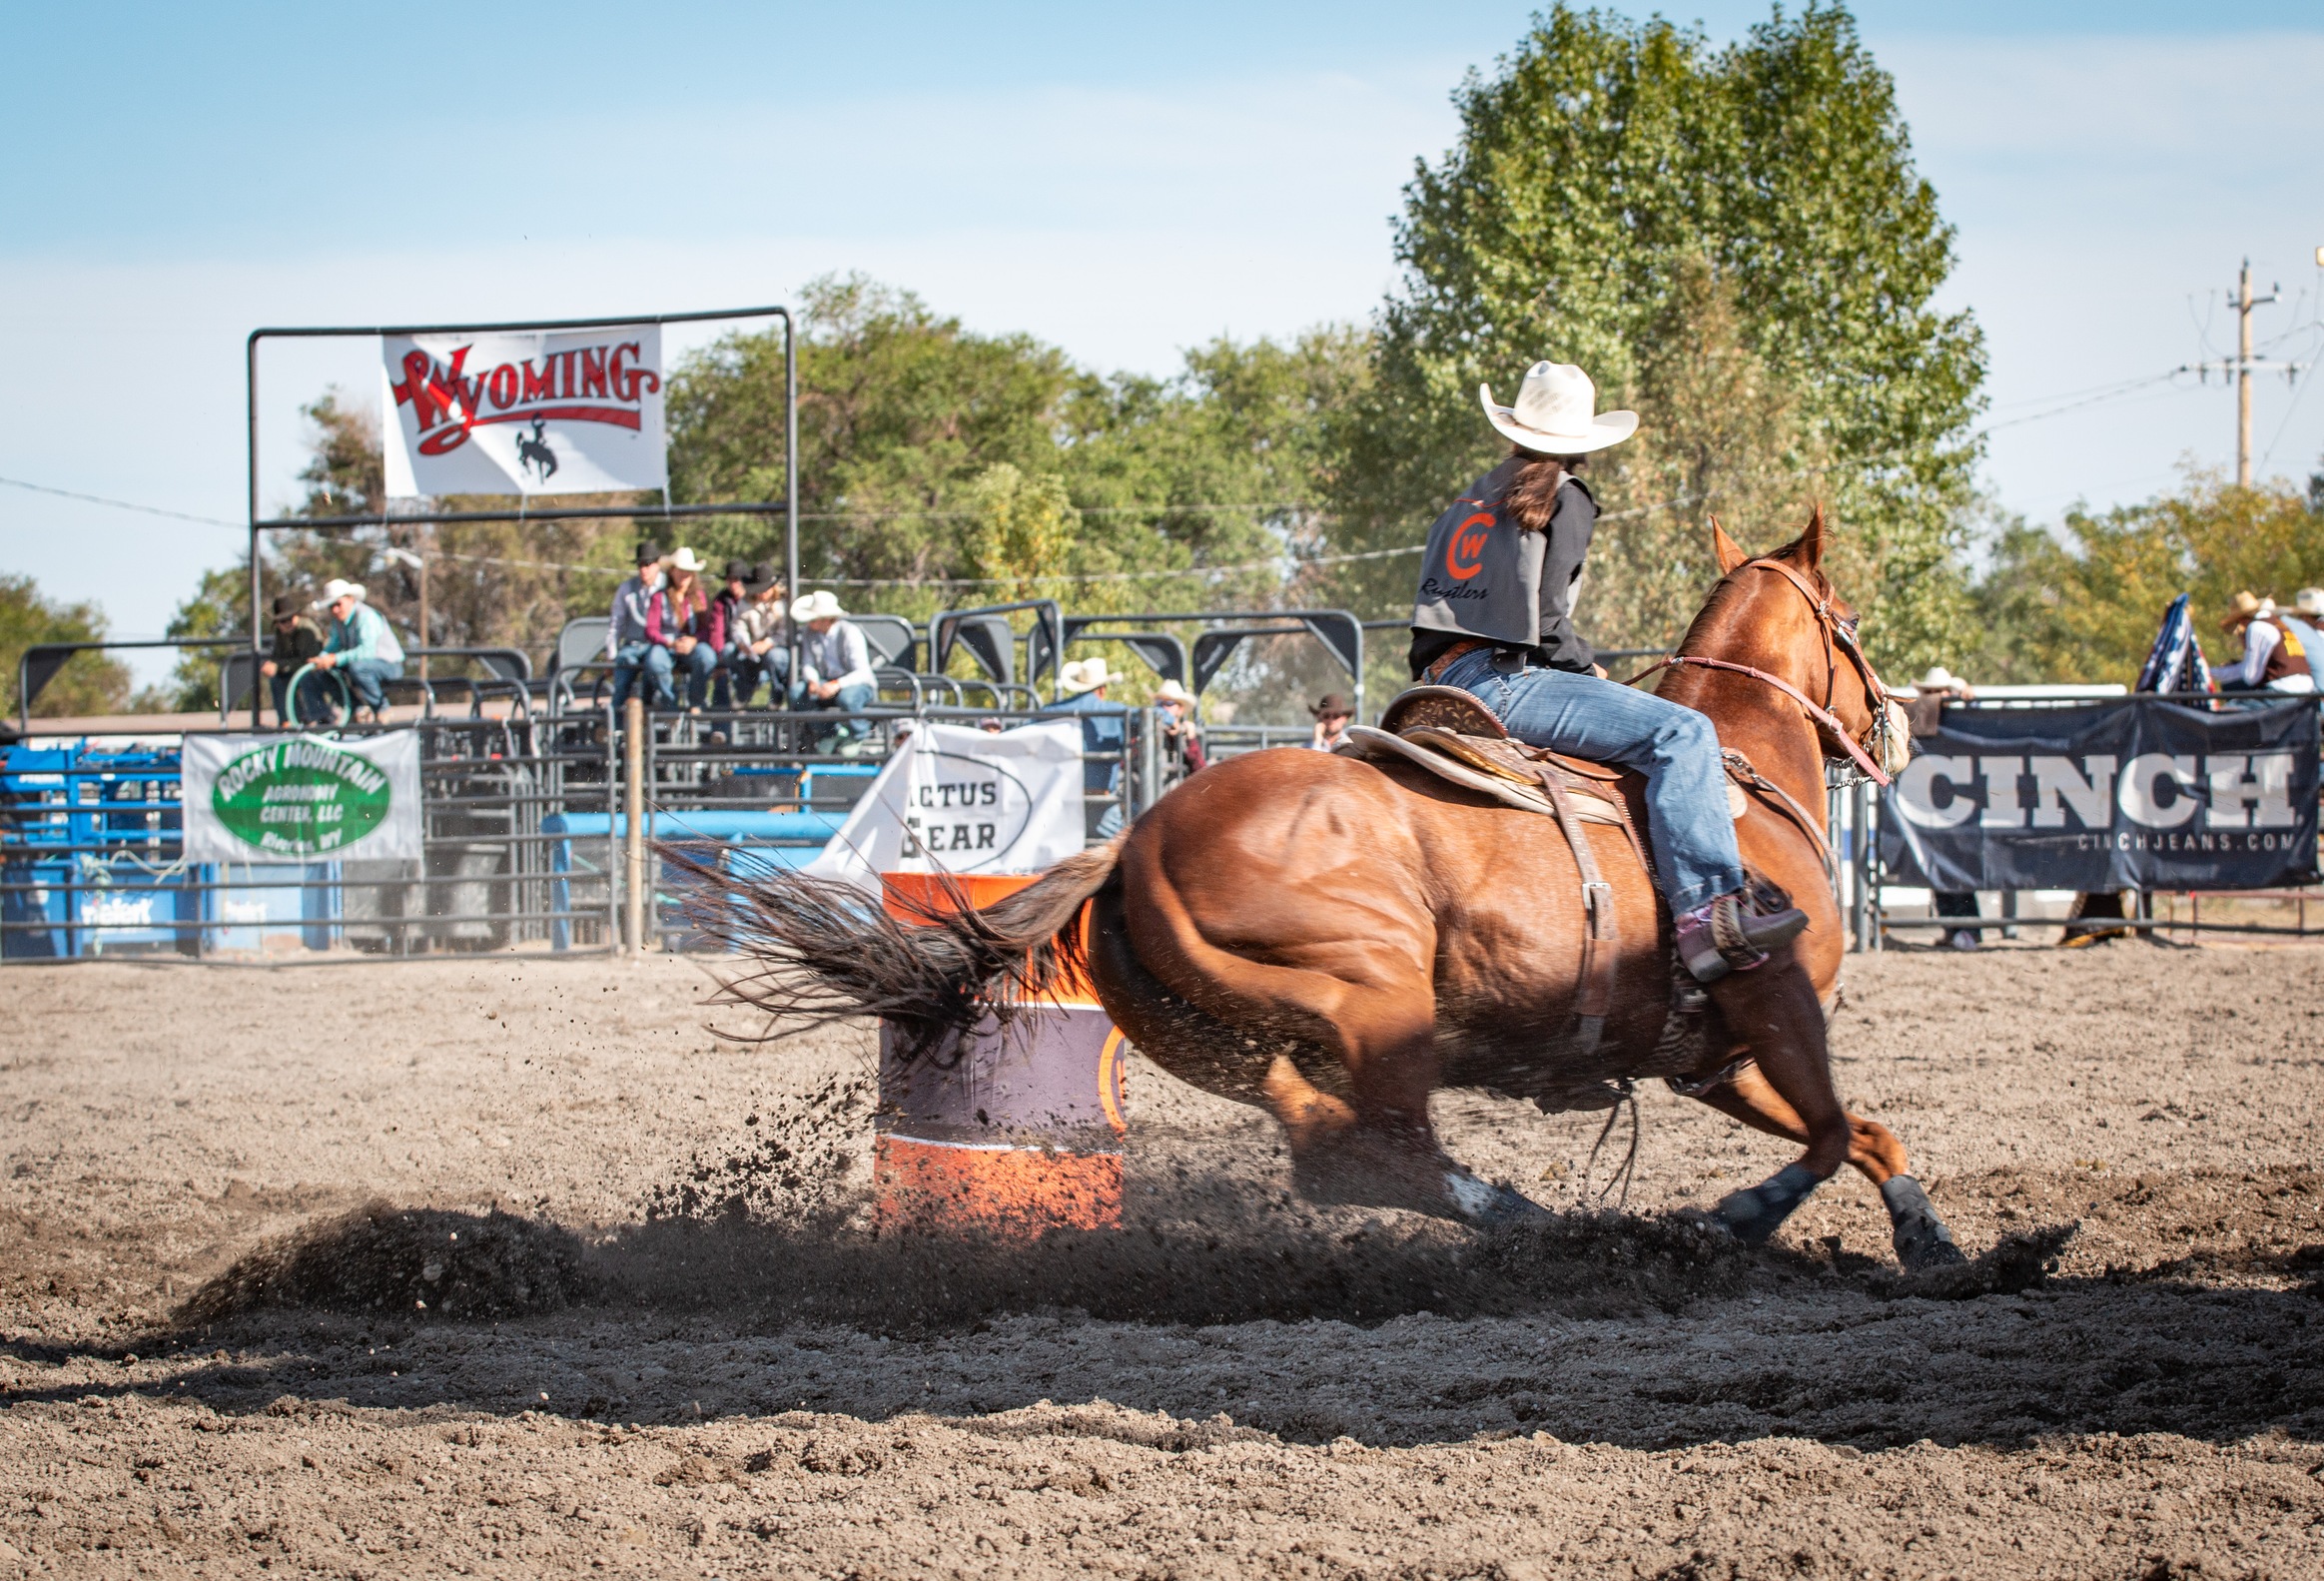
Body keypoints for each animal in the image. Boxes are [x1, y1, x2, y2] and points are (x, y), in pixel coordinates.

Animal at [706, 515, 1960, 1273]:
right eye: (1851, 624)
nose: (1904, 725)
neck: (1738, 773)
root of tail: (1136, 845)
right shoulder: (1773, 998)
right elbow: (1832, 1130)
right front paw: (1734, 1219)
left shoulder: (1712, 1050)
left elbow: (1867, 1132)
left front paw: (1931, 1243)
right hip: (1377, 998)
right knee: (1374, 1151)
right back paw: (1533, 1223)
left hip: (1220, 1036)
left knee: (1325, 1141)